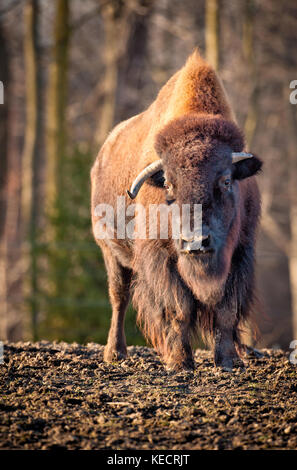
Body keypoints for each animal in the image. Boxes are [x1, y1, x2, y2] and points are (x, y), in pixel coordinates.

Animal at [91, 51, 262, 370]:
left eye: (227, 180)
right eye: (169, 184)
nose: (196, 242)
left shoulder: (240, 254)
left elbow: (226, 310)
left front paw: (229, 361)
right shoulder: (162, 257)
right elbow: (179, 308)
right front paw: (180, 361)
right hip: (110, 251)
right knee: (119, 297)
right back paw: (115, 353)